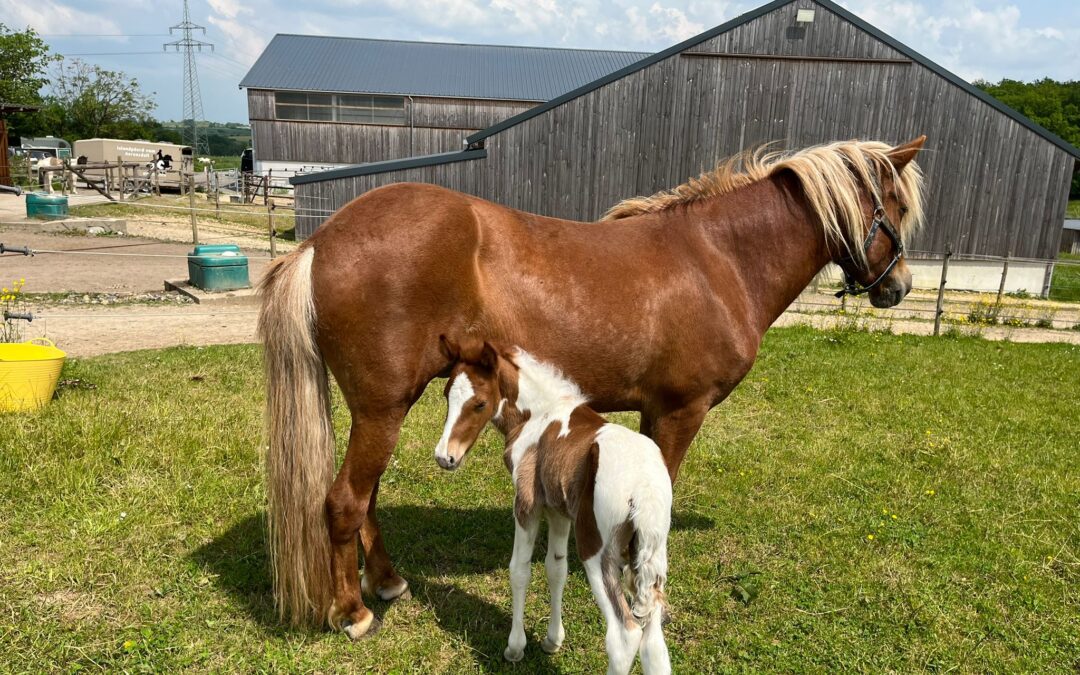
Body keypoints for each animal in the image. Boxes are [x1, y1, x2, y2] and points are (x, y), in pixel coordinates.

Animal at [434, 336, 669, 673]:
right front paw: (552, 641)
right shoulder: (559, 511)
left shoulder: (527, 504)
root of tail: (644, 488)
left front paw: (515, 647)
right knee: (654, 641)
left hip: (597, 548)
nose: (445, 457)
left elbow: (519, 568)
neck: (539, 415)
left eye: (479, 403)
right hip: (652, 553)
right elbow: (556, 568)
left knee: (624, 637)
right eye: (446, 395)